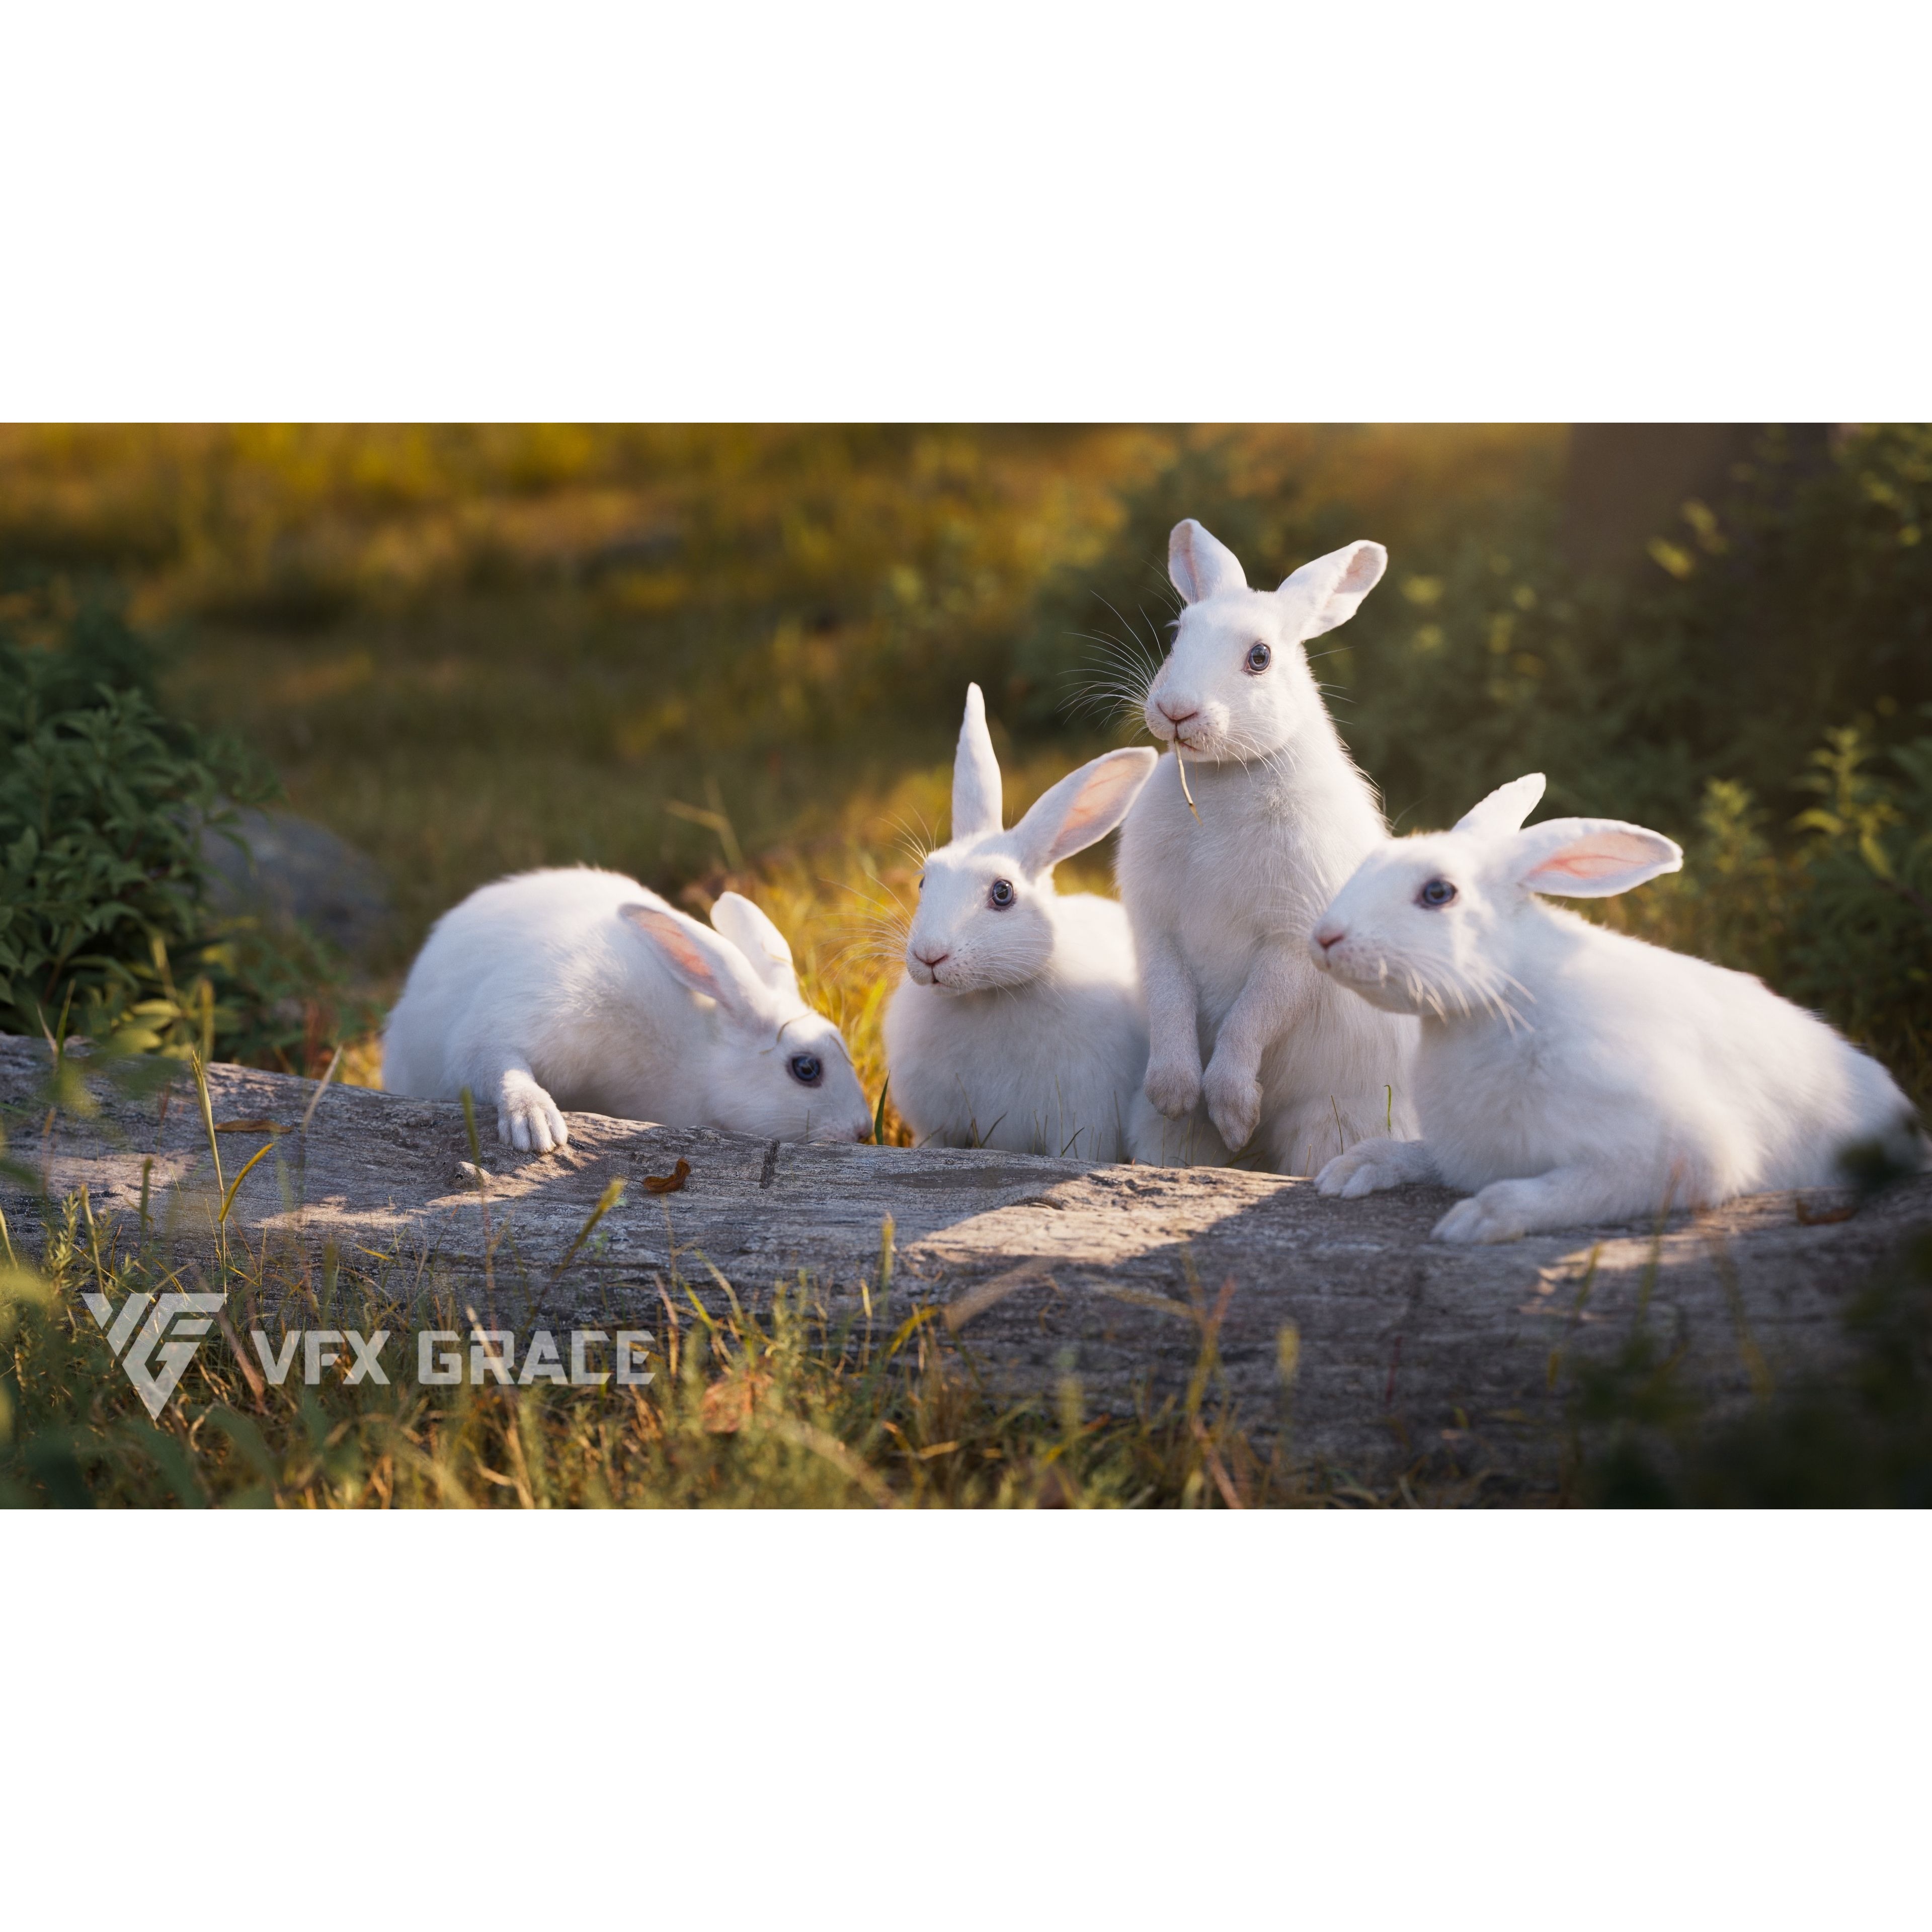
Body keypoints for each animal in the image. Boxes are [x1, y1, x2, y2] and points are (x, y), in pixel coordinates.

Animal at [381, 867, 874, 1151]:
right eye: (806, 1069)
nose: (863, 1131)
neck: (693, 1058)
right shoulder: (513, 1018)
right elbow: (497, 1065)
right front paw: (535, 1124)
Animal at [881, 683, 1157, 1162]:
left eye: (1003, 893)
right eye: (923, 881)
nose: (930, 956)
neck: (986, 998)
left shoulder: (1085, 1124)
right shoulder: (937, 1127)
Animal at [1115, 518, 1419, 1171]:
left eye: (1260, 658)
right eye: (1178, 636)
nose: (1176, 711)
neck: (1225, 775)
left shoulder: (1291, 940)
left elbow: (1251, 1018)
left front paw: (1234, 1113)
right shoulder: (1158, 927)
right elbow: (1171, 1002)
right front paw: (1175, 1094)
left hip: (1334, 1122)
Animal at [1309, 772, 1929, 1241]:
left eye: (1438, 893)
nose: (1325, 938)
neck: (1506, 999)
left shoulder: (1669, 1154)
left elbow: (1560, 1191)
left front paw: (1474, 1221)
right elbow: (1416, 1153)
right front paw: (1351, 1170)